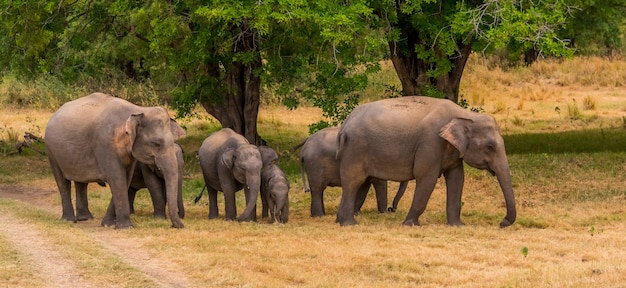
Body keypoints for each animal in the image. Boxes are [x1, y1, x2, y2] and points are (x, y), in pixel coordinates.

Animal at [45, 93, 184, 228]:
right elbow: (117, 178)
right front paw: (126, 227)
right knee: (63, 182)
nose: (178, 226)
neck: (138, 109)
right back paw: (69, 220)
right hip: (51, 151)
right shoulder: (106, 145)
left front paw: (108, 224)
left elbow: (125, 179)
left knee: (81, 182)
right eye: (156, 144)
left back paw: (85, 218)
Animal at [334, 96, 516, 227]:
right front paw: (410, 225)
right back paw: (349, 224)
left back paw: (341, 221)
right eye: (490, 147)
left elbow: (457, 179)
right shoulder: (430, 142)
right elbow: (427, 177)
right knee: (353, 182)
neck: (466, 115)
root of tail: (344, 125)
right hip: (355, 150)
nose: (502, 222)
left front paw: (458, 225)